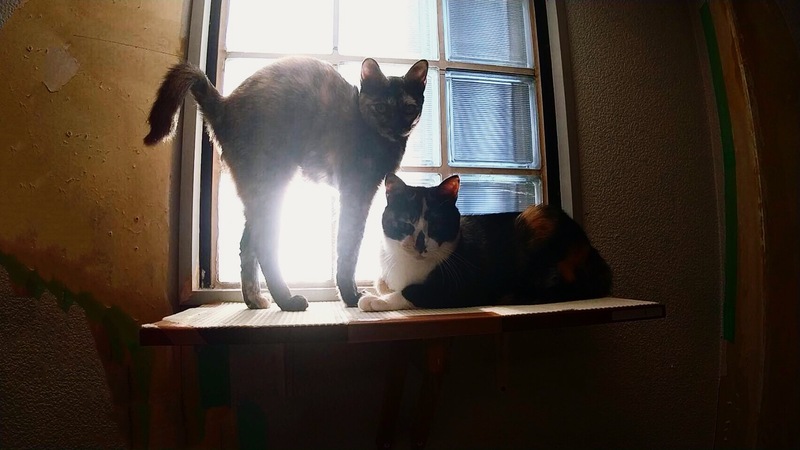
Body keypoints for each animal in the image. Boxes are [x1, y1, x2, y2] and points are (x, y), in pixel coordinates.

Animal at [144, 56, 429, 311]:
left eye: (408, 108)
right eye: (381, 107)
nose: (397, 126)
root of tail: (224, 104)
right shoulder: (355, 193)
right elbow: (348, 247)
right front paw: (350, 296)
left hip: (258, 190)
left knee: (247, 245)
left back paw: (255, 300)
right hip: (272, 182)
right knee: (264, 244)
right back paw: (287, 300)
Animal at [358, 173, 612, 311]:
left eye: (436, 224)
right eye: (406, 223)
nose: (420, 245)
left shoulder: (459, 285)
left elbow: (412, 292)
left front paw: (373, 301)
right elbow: (382, 282)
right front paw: (375, 289)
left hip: (540, 218)